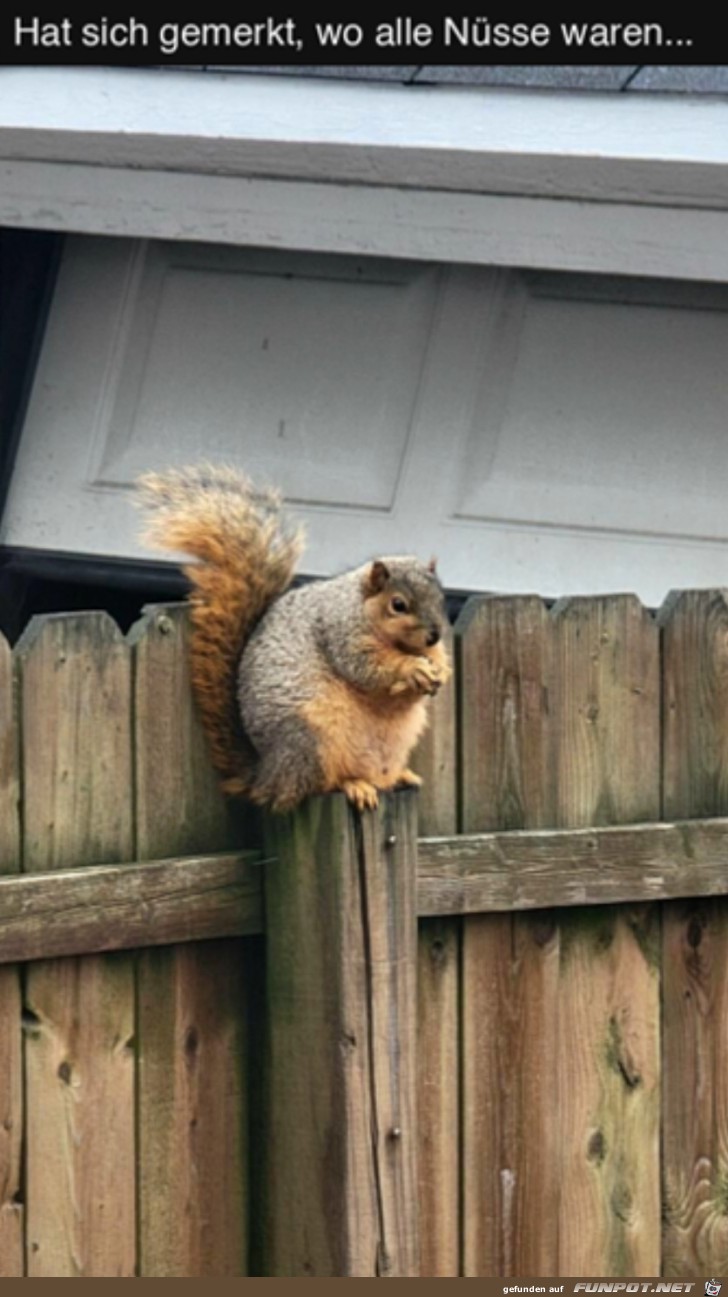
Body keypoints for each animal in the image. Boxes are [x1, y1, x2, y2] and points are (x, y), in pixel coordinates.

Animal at [135, 464, 448, 809]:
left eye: (441, 597)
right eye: (398, 605)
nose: (434, 635)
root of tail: (266, 775)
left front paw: (440, 670)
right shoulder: (340, 633)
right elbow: (367, 667)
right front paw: (412, 668)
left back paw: (400, 776)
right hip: (311, 740)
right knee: (318, 785)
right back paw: (354, 784)